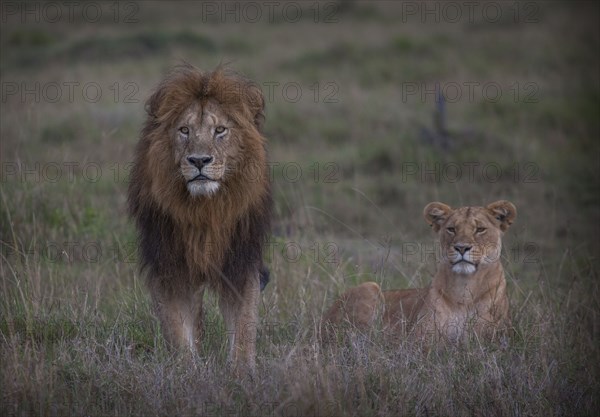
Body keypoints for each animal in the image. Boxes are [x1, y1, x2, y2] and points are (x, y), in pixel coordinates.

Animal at [130, 64, 274, 370]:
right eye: (184, 130)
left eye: (219, 130)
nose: (198, 160)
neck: (205, 209)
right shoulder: (169, 265)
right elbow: (177, 328)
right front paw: (187, 371)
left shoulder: (240, 262)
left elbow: (244, 324)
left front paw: (242, 372)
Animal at [324, 201, 516, 342]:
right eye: (451, 229)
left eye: (480, 229)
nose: (461, 247)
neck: (465, 287)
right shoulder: (420, 339)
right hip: (370, 288)